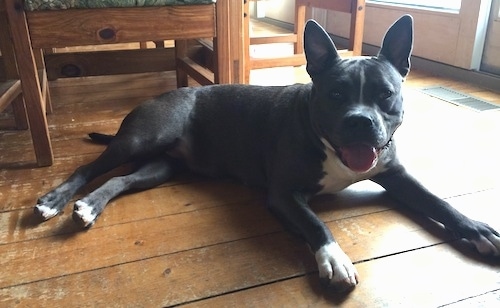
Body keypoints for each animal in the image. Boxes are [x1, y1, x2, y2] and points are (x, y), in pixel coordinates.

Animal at [35, 16, 500, 292]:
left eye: (385, 95)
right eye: (335, 95)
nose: (360, 121)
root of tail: (168, 92)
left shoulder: (396, 174)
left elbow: (437, 201)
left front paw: (478, 230)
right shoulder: (284, 195)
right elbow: (315, 223)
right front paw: (333, 257)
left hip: (159, 167)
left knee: (119, 179)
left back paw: (90, 207)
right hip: (141, 139)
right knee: (88, 167)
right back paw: (54, 201)